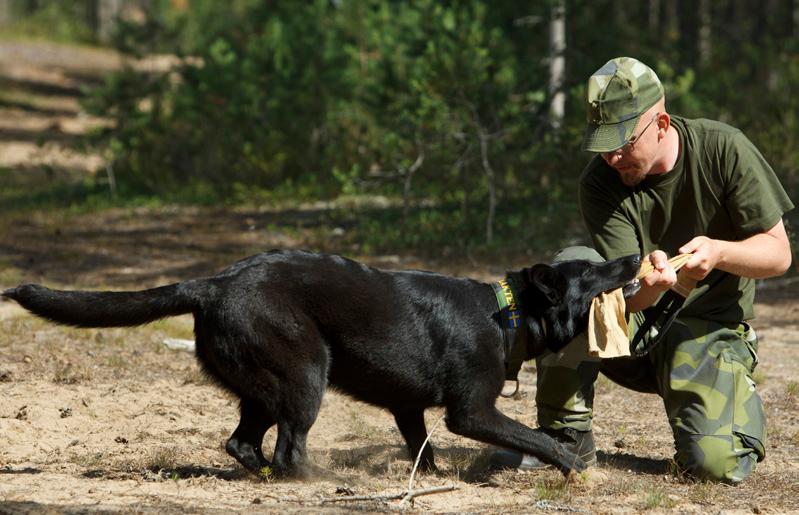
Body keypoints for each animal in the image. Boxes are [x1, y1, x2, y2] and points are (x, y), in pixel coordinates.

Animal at [1, 250, 636, 480]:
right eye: (592, 271)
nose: (632, 257)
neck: (507, 314)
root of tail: (213, 284)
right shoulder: (471, 413)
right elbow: (535, 436)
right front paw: (571, 465)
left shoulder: (408, 409)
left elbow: (422, 448)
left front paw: (426, 479)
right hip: (307, 374)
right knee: (288, 447)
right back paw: (319, 480)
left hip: (265, 385)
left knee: (243, 442)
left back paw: (263, 474)